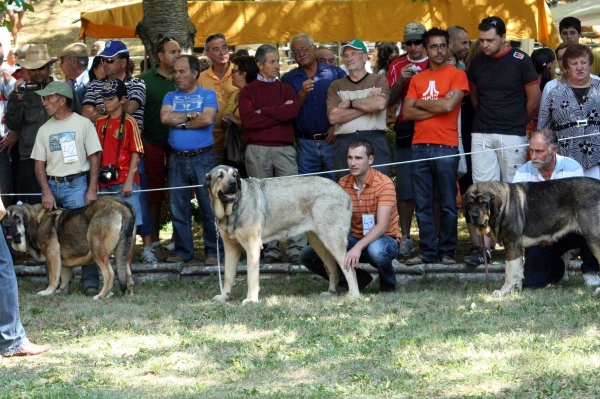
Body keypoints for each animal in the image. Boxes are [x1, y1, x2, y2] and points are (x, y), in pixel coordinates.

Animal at [2, 197, 136, 300]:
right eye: (4, 217)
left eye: (17, 217)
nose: (6, 226)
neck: (38, 221)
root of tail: (121, 205)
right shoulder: (62, 260)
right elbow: (64, 277)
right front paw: (61, 291)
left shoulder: (52, 253)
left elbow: (54, 276)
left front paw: (48, 291)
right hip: (125, 253)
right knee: (128, 273)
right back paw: (128, 294)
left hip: (97, 248)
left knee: (110, 274)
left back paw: (102, 295)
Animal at [466, 178, 600, 296]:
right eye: (470, 203)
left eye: (484, 203)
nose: (474, 216)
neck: (504, 205)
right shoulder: (517, 248)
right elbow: (518, 271)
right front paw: (515, 291)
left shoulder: (512, 244)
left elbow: (509, 272)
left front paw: (503, 291)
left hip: (593, 237)